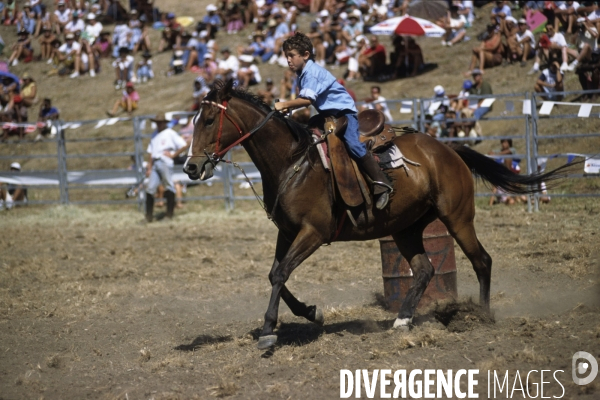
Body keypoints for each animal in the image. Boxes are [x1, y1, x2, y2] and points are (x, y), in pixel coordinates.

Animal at [185, 79, 568, 348]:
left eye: (209, 120)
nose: (190, 167)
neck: (294, 161)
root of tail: (448, 149)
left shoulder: (313, 233)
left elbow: (280, 274)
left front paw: (268, 330)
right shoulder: (289, 231)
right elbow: (275, 274)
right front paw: (309, 312)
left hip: (458, 217)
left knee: (481, 260)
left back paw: (482, 315)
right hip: (406, 227)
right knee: (425, 270)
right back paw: (402, 319)